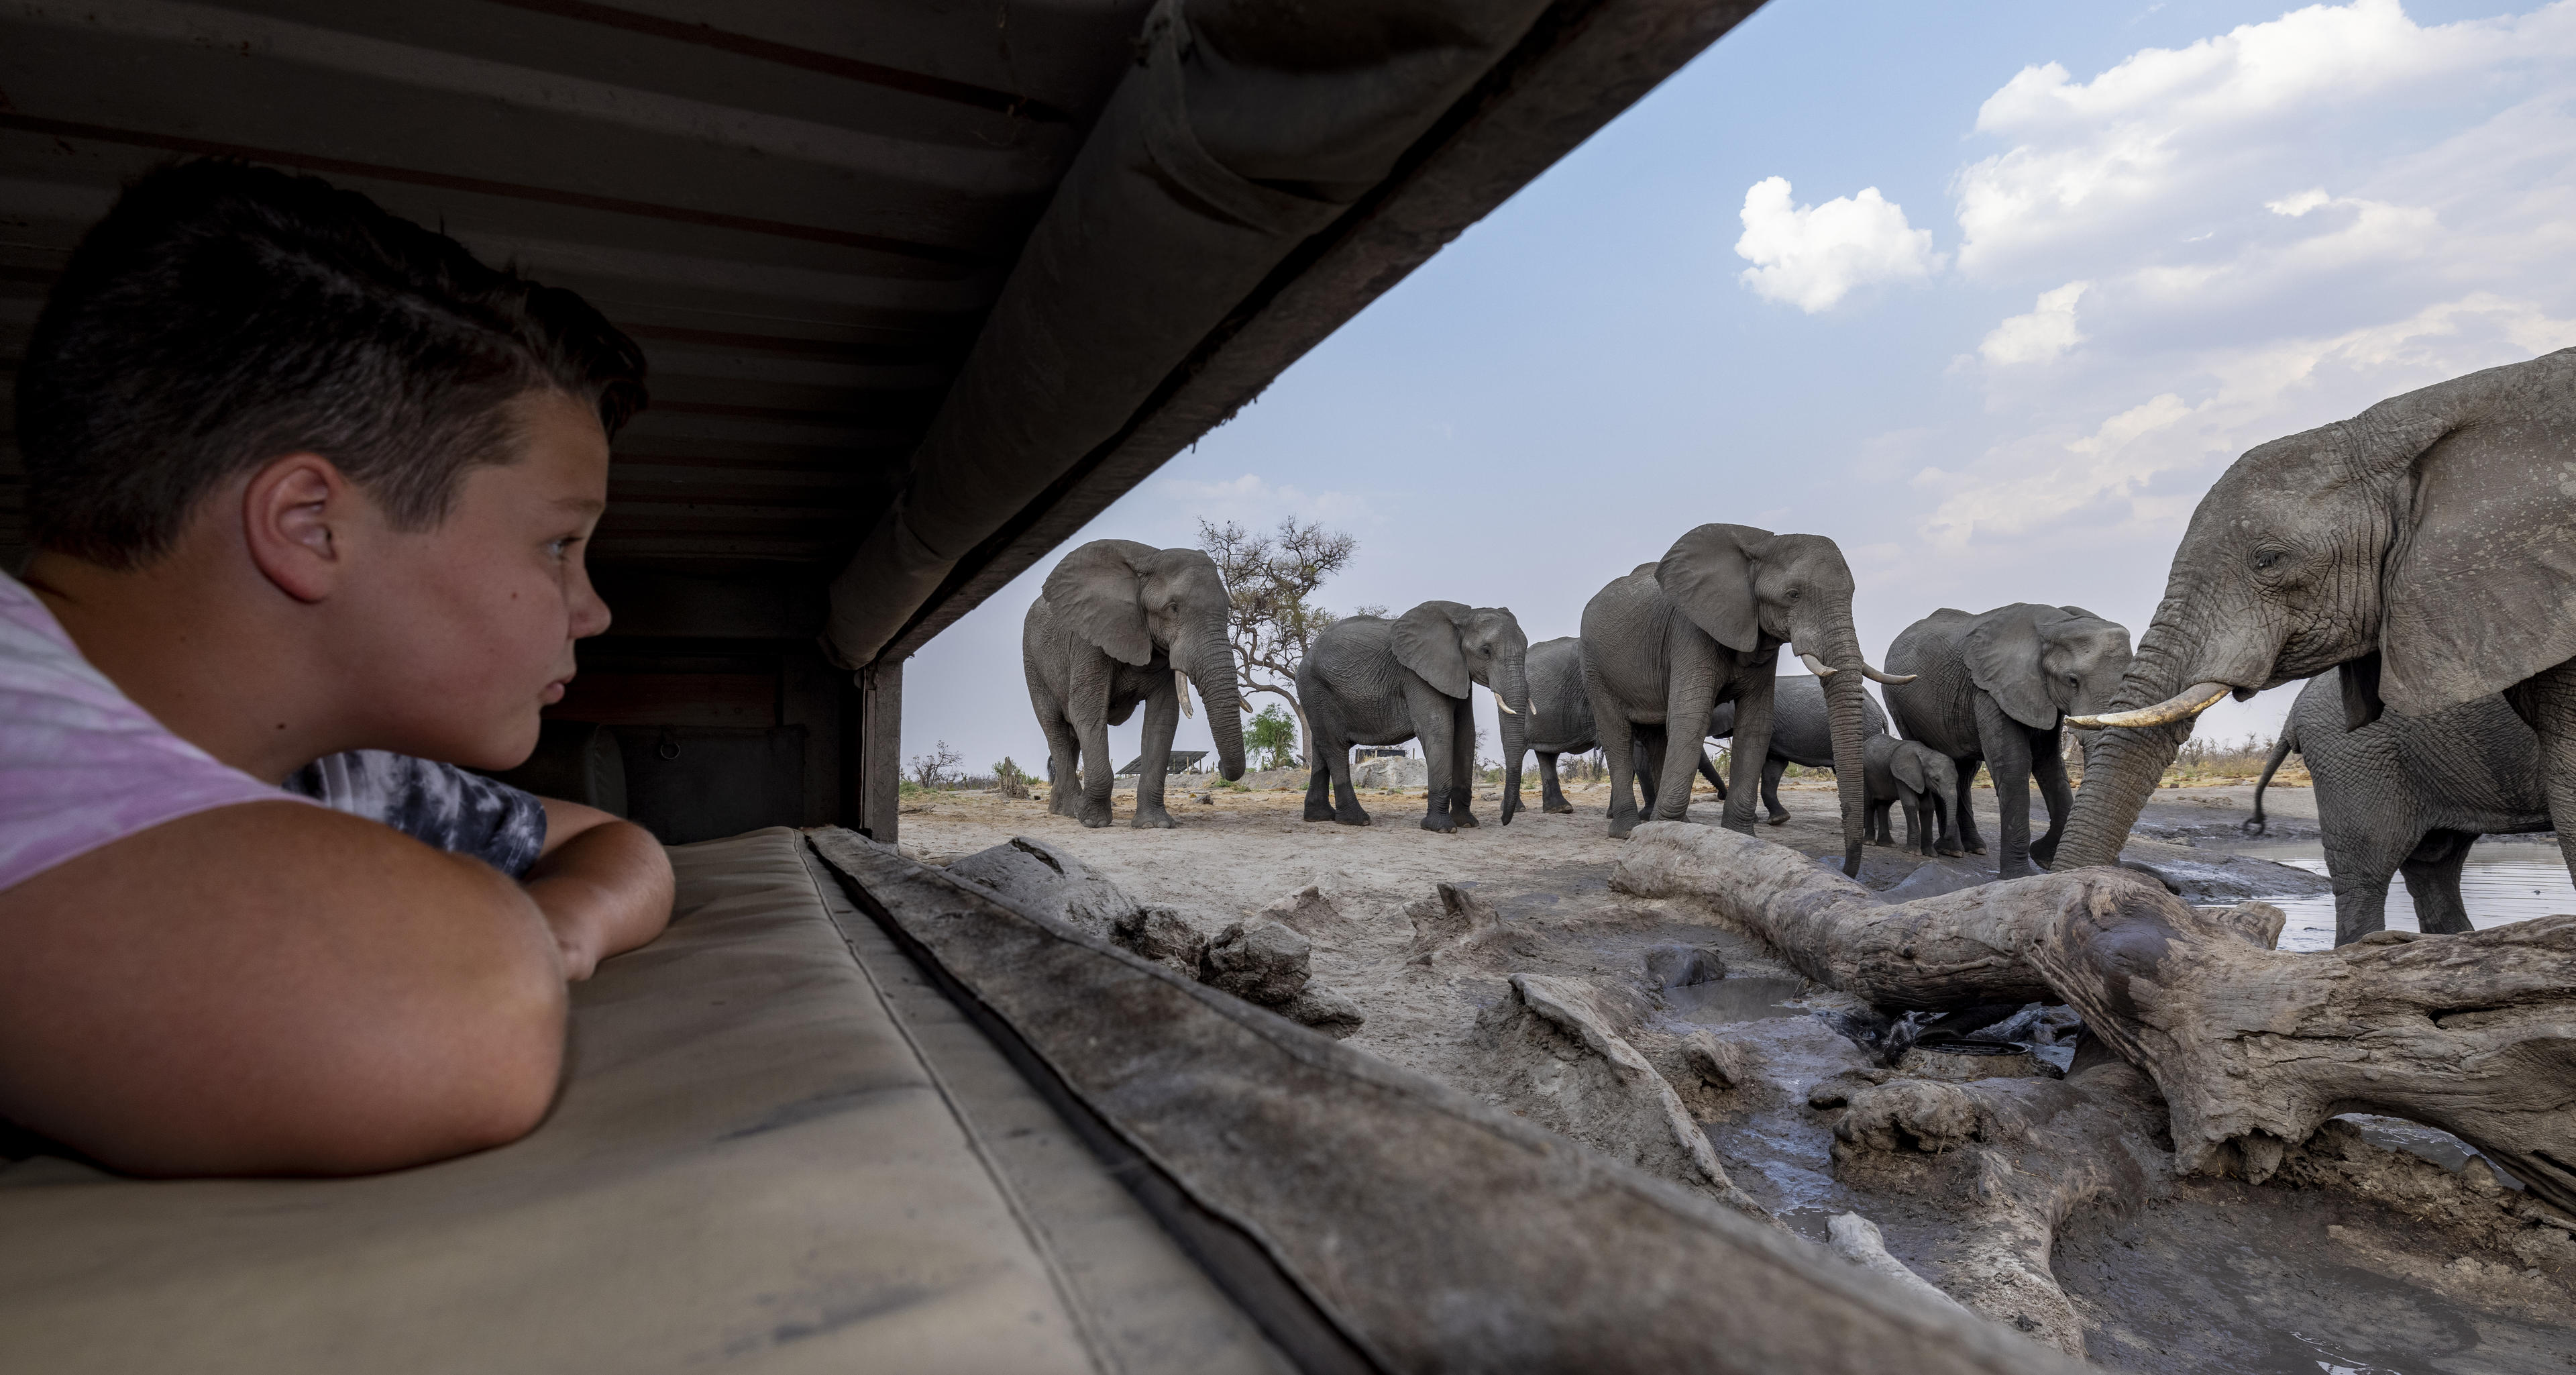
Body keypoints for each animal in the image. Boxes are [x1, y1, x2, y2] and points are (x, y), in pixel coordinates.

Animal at [1023, 539, 1246, 828]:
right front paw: (1092, 821)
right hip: (1033, 663)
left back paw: (1060, 809)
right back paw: (1070, 810)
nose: (1218, 766)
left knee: (1070, 736)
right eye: (1173, 608)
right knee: (1055, 727)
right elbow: (1087, 711)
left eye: (1228, 608)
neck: (1149, 560)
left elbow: (1162, 718)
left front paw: (1154, 825)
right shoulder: (1089, 637)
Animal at [1299, 601, 1530, 831]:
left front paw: (1467, 823)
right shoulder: (1417, 676)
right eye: (1486, 651)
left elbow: (1466, 735)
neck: (1463, 617)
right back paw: (1357, 820)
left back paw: (1319, 817)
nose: (1504, 821)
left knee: (1320, 746)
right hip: (1316, 689)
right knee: (1335, 746)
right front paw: (1442, 828)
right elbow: (1439, 731)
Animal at [1578, 525, 1911, 873]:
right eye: (1793, 594)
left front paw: (1740, 837)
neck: (1760, 544)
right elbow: (1691, 718)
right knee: (1617, 734)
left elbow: (1755, 726)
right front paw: (1660, 837)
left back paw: (1671, 826)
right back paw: (1628, 831)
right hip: (1594, 666)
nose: (1846, 869)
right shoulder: (1691, 630)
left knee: (1657, 738)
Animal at [1862, 735, 1962, 857]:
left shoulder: (1921, 780)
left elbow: (1928, 807)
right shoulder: (1902, 776)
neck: (1926, 754)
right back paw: (1870, 843)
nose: (1947, 836)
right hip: (1865, 776)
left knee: (1884, 806)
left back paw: (1887, 844)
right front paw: (1913, 852)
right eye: (1936, 780)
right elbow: (1911, 804)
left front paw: (1931, 854)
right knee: (1869, 804)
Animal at [1882, 604, 2133, 880]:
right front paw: (2020, 875)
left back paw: (1974, 848)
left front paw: (2046, 859)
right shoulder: (1992, 688)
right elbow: (2013, 764)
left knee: (1965, 773)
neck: (2055, 626)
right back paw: (1951, 850)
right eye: (2072, 680)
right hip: (1899, 704)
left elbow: (2050, 764)